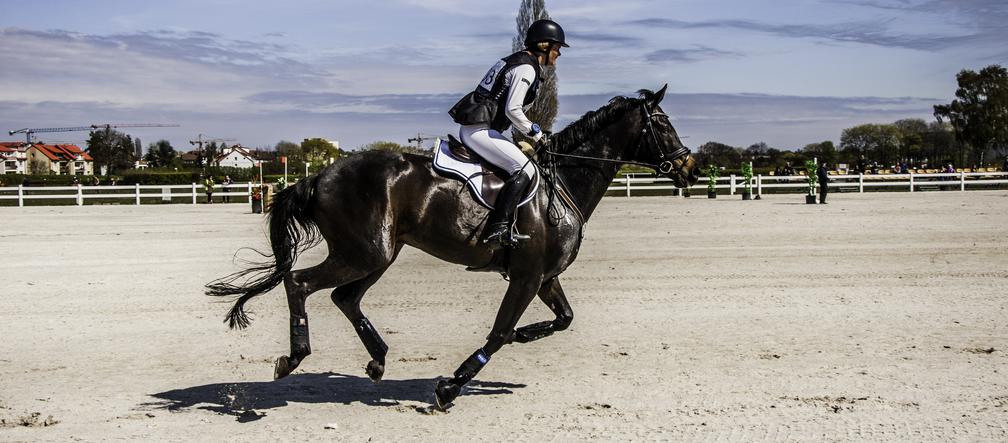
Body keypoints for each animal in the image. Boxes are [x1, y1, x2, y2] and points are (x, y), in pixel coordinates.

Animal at [208, 84, 697, 409]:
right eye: (663, 124)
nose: (690, 168)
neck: (563, 185)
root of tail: (319, 176)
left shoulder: (544, 277)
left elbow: (563, 319)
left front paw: (524, 335)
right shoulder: (527, 277)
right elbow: (499, 332)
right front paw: (450, 386)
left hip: (380, 254)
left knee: (344, 297)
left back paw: (378, 361)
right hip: (364, 252)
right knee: (299, 282)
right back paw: (294, 357)